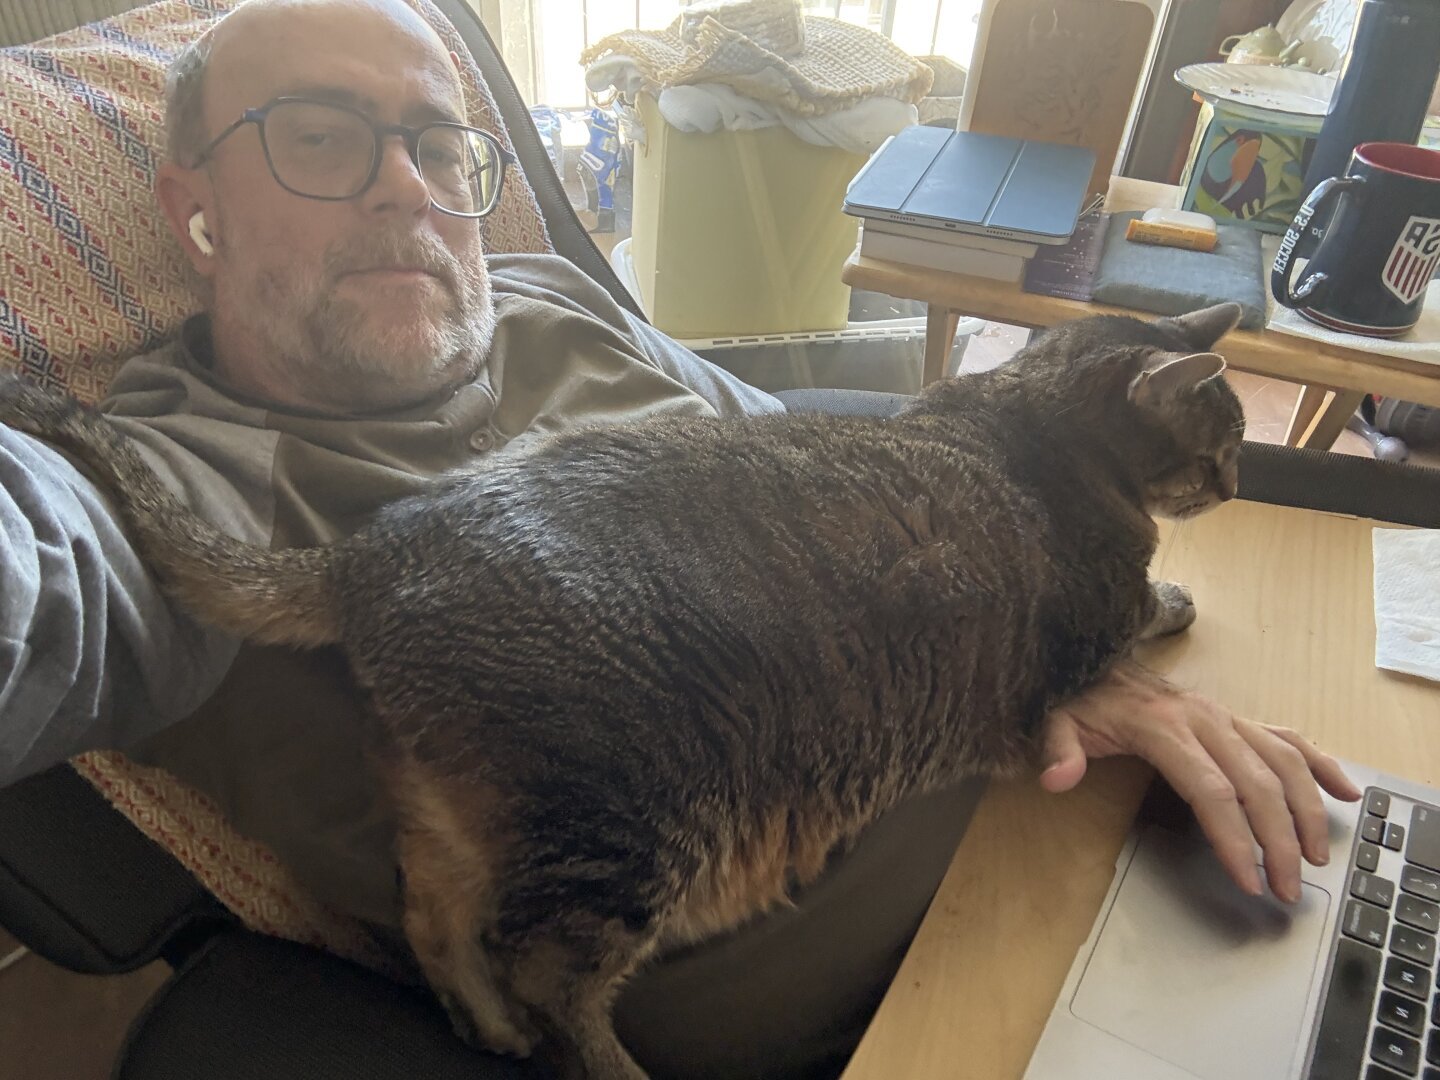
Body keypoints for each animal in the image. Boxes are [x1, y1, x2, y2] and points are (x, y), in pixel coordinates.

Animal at [0, 300, 1244, 1077]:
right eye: (1223, 439)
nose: (1238, 482)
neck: (1022, 420)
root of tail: (369, 554)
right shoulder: (1093, 625)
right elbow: (1146, 608)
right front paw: (1183, 595)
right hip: (631, 828)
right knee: (550, 972)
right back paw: (598, 1061)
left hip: (461, 811)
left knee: (435, 919)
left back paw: (483, 1027)